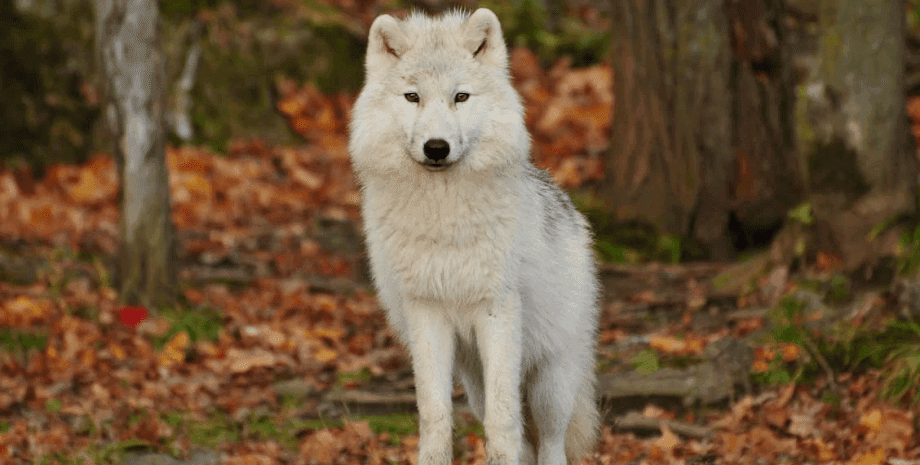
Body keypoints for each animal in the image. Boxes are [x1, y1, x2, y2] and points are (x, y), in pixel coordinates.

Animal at [348, 8, 600, 464]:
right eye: (412, 97)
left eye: (460, 97)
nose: (436, 147)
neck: (444, 219)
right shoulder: (426, 313)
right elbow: (434, 415)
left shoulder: (496, 311)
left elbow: (503, 423)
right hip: (474, 379)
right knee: (522, 439)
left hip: (550, 382)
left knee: (550, 441)